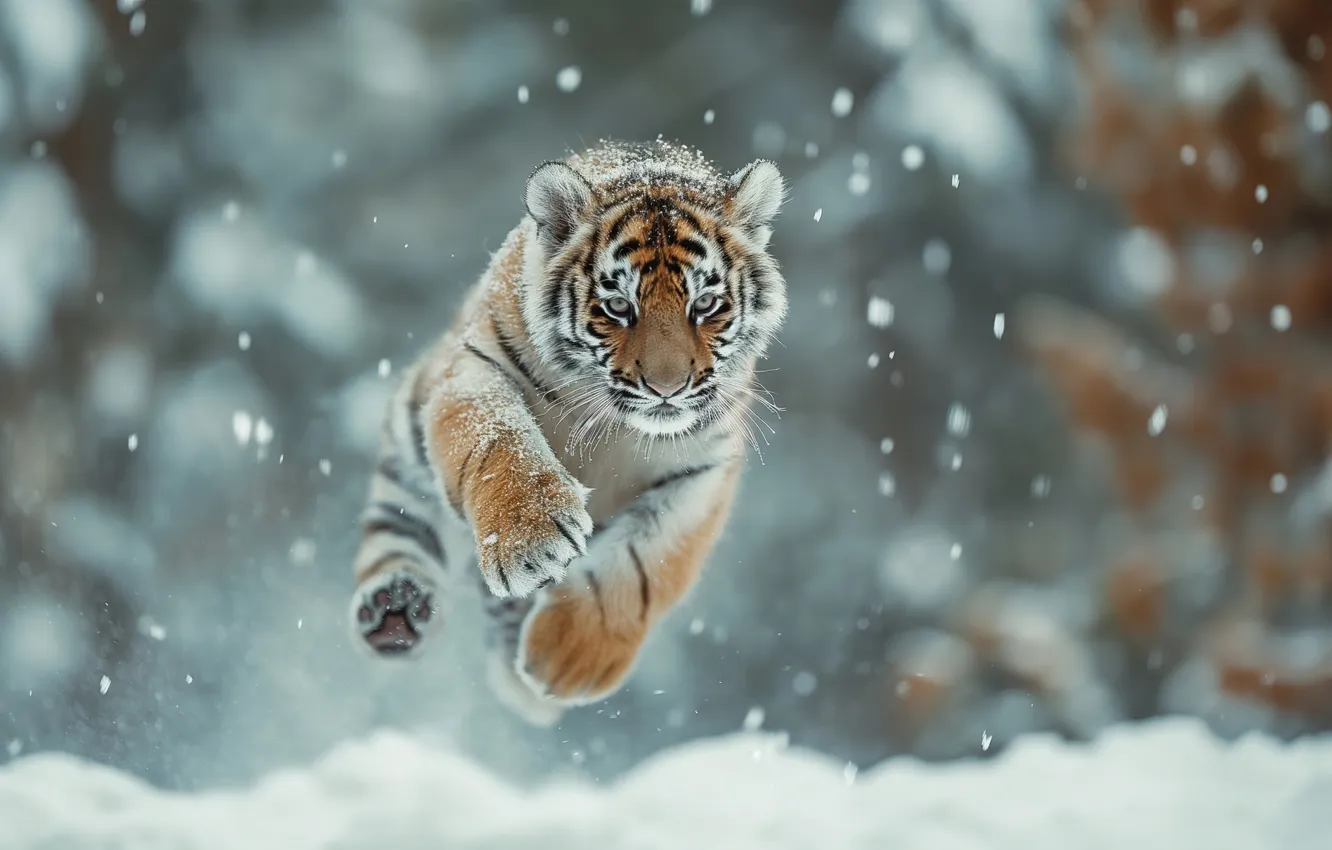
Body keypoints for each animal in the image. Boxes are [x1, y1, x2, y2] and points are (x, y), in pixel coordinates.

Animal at [346, 140, 788, 725]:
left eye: (706, 305)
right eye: (618, 306)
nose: (667, 388)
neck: (618, 426)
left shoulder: (705, 468)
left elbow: (644, 564)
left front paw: (566, 659)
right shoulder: (474, 373)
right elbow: (499, 443)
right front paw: (530, 542)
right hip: (411, 425)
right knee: (399, 519)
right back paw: (394, 609)